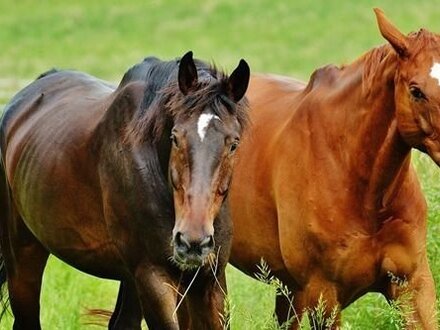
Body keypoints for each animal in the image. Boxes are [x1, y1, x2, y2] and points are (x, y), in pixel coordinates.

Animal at [0, 50, 251, 328]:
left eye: (234, 144)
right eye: (175, 137)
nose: (192, 241)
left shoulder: (209, 280)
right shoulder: (153, 276)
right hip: (22, 256)